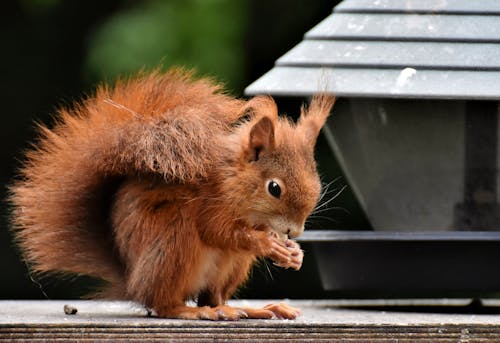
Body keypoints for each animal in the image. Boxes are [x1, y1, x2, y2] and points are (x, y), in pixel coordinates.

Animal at [9, 68, 336, 322]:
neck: (234, 179)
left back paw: (248, 309)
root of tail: (132, 280)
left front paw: (294, 254)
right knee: (163, 303)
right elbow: (218, 231)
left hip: (232, 266)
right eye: (274, 188)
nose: (295, 231)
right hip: (174, 241)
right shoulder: (210, 201)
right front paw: (268, 243)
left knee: (213, 297)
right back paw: (192, 311)